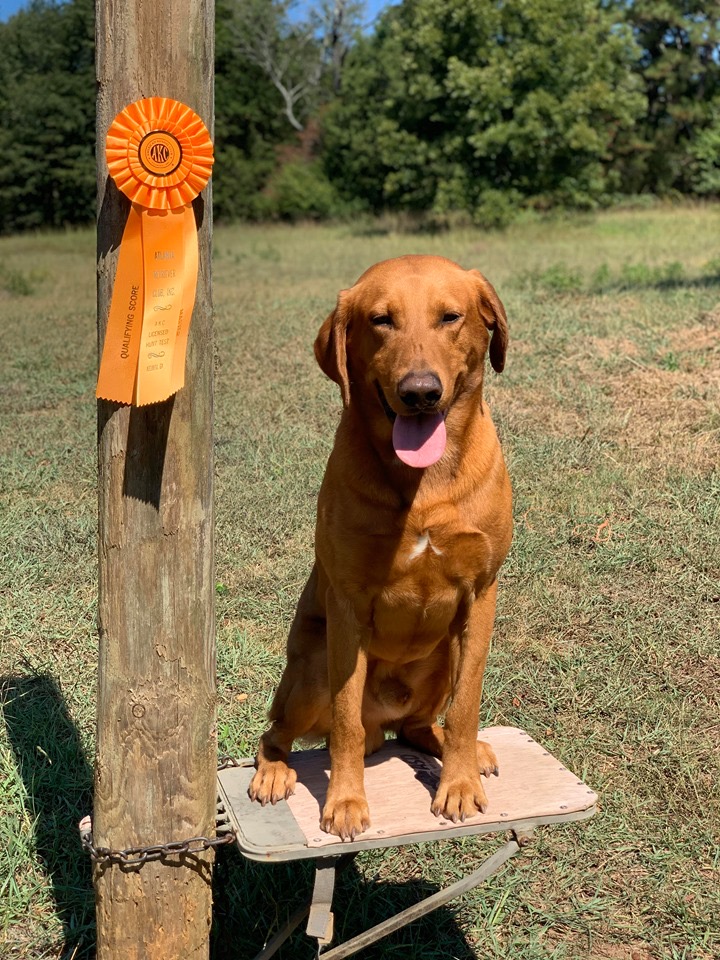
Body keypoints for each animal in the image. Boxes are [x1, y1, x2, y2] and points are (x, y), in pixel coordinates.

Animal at [248, 255, 512, 840]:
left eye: (451, 317)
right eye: (380, 320)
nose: (420, 391)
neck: (423, 484)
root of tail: (383, 724)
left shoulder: (481, 594)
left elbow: (466, 706)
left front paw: (458, 783)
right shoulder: (348, 605)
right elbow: (344, 721)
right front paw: (346, 800)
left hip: (446, 652)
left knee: (420, 725)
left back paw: (460, 750)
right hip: (312, 668)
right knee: (280, 731)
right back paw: (274, 771)